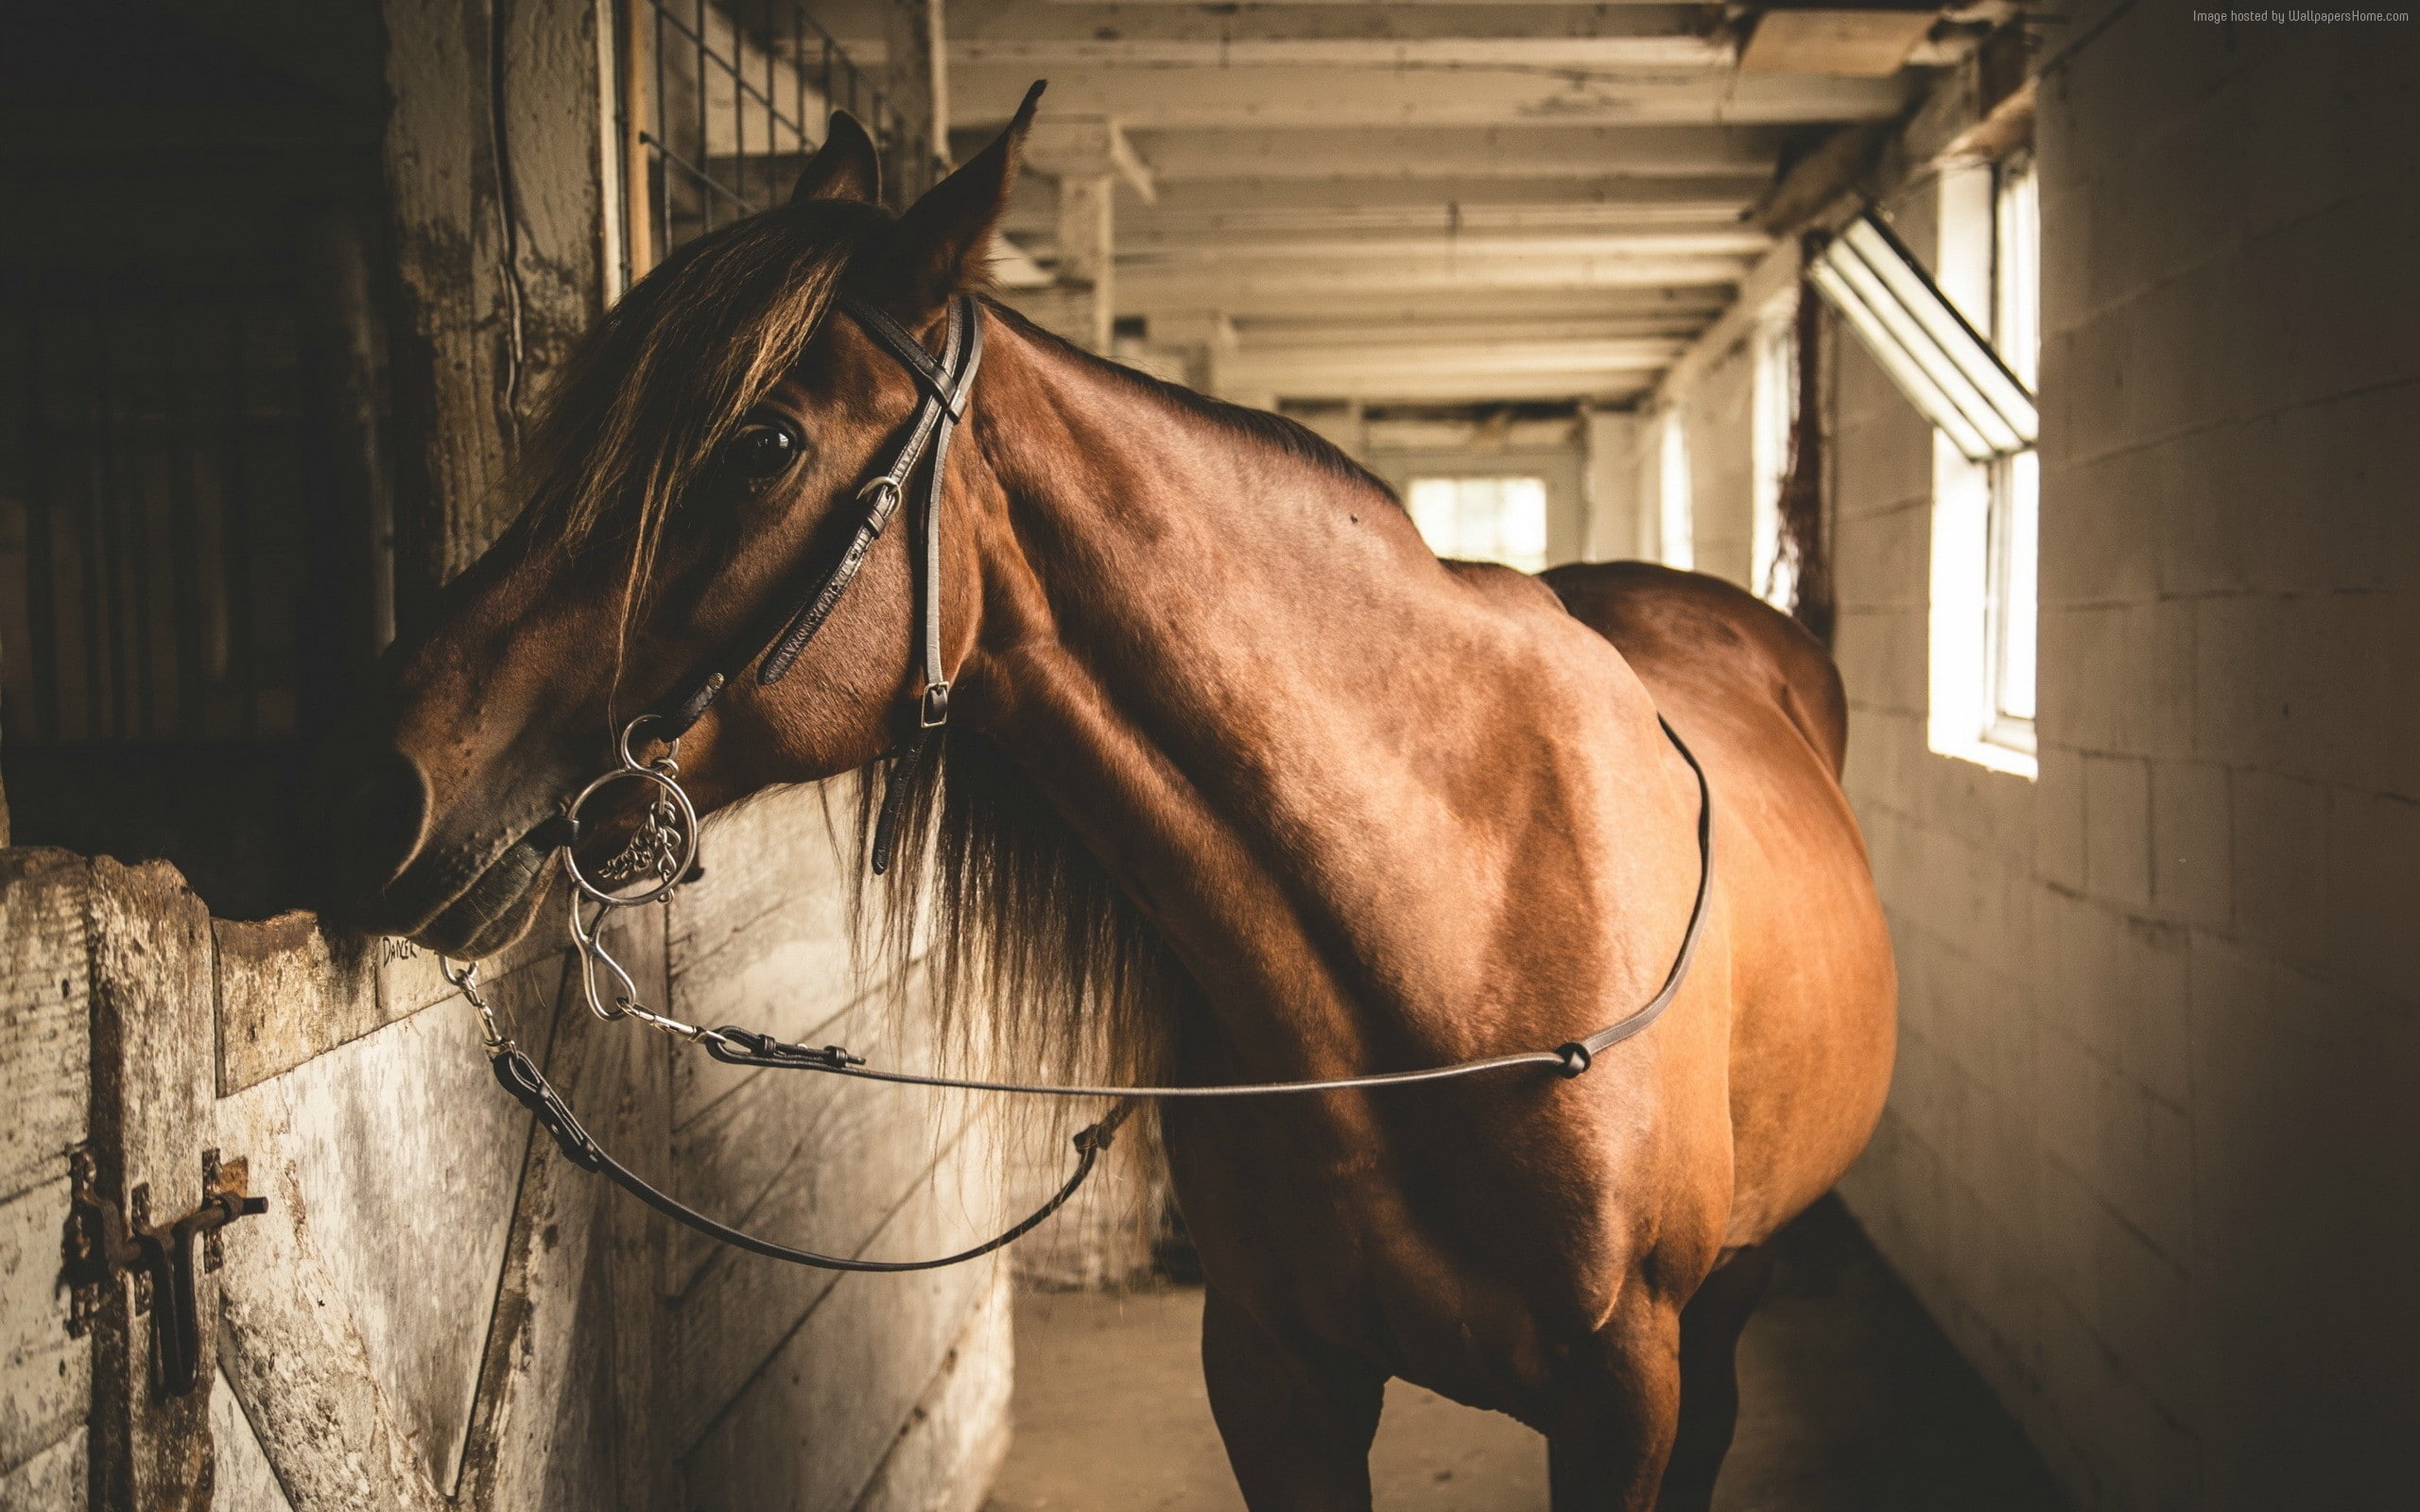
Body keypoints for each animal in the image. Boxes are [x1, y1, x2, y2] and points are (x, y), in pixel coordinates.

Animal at [312, 92, 1896, 1511]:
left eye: (762, 444)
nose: (368, 783)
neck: (1449, 938)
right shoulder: (1274, 1377)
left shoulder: (1622, 1390)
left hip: (1730, 1300)